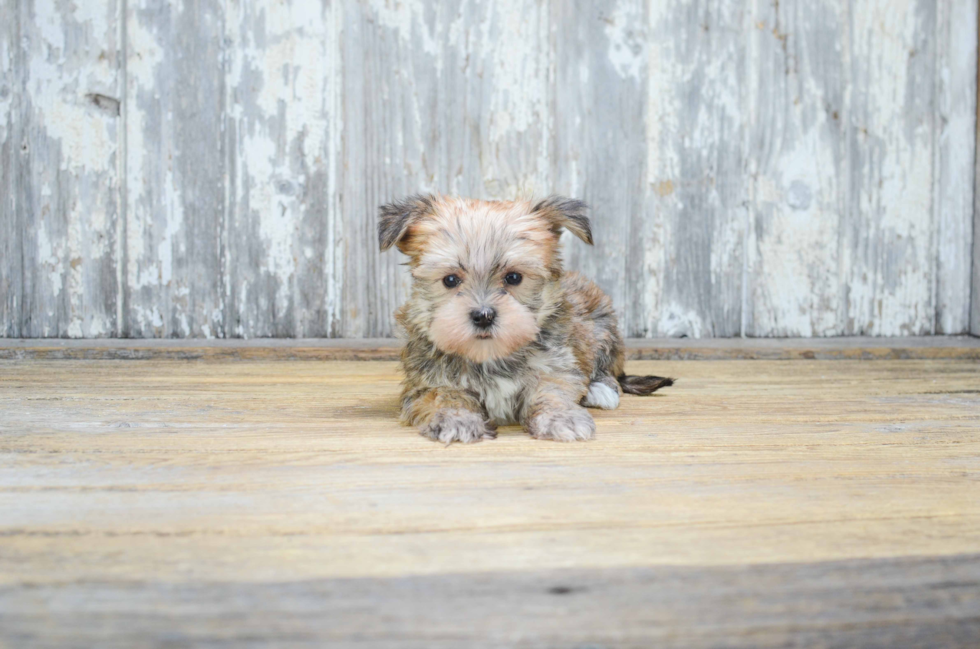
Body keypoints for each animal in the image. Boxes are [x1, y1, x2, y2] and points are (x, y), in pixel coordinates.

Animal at [378, 195, 672, 442]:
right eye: (450, 280)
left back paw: (600, 389)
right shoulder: (427, 381)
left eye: (513, 277)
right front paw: (456, 419)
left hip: (601, 320)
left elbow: (552, 389)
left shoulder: (554, 365)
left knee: (608, 367)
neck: (490, 355)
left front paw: (560, 417)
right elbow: (443, 395)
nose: (483, 316)